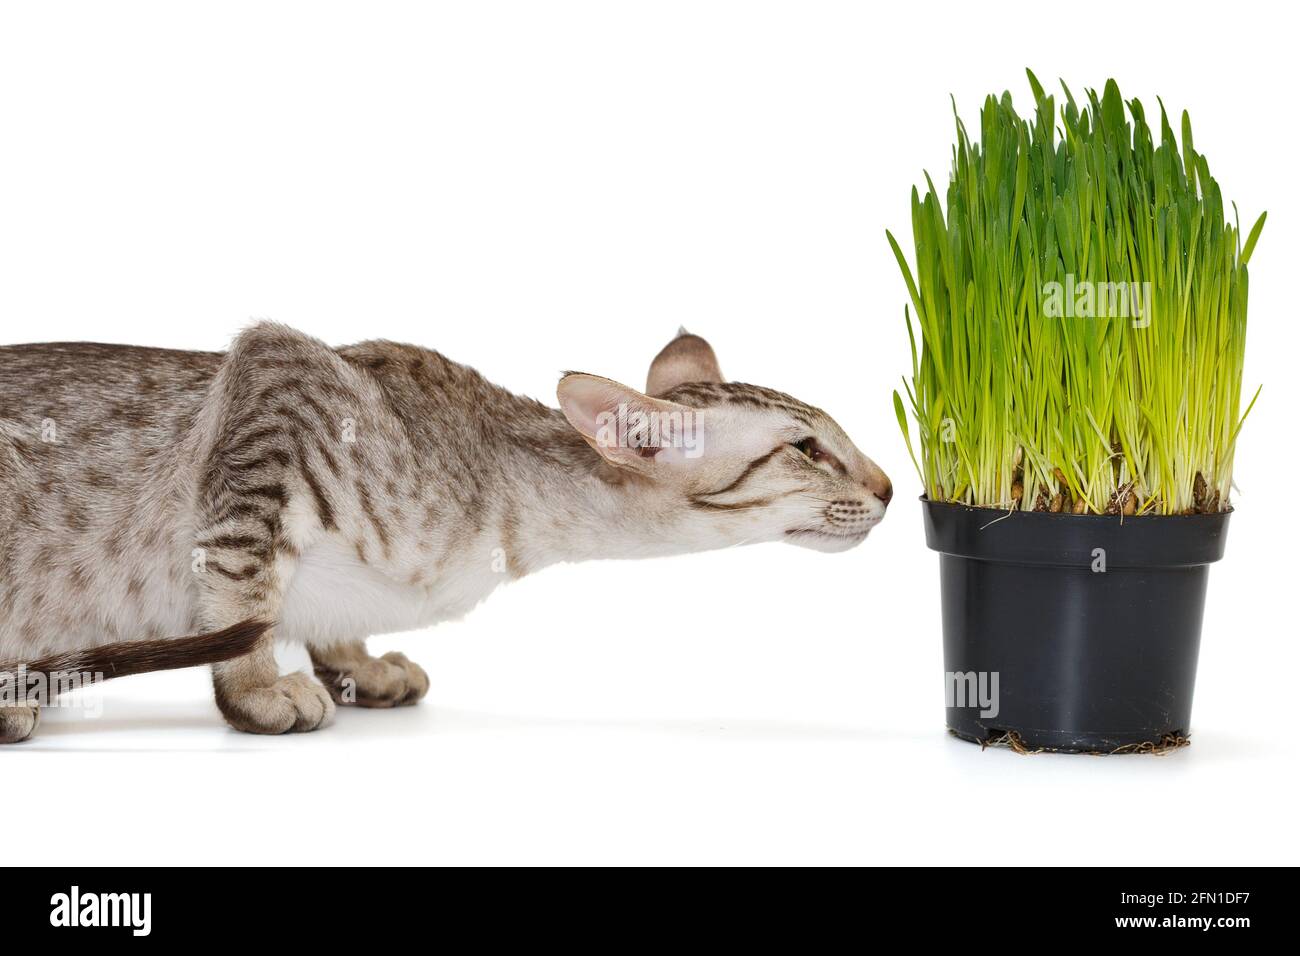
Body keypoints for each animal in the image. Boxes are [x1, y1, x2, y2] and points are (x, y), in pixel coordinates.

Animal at [0, 325, 889, 743]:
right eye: (808, 449)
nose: (886, 487)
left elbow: (332, 622)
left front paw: (357, 666)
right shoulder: (277, 376)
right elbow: (241, 582)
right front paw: (257, 687)